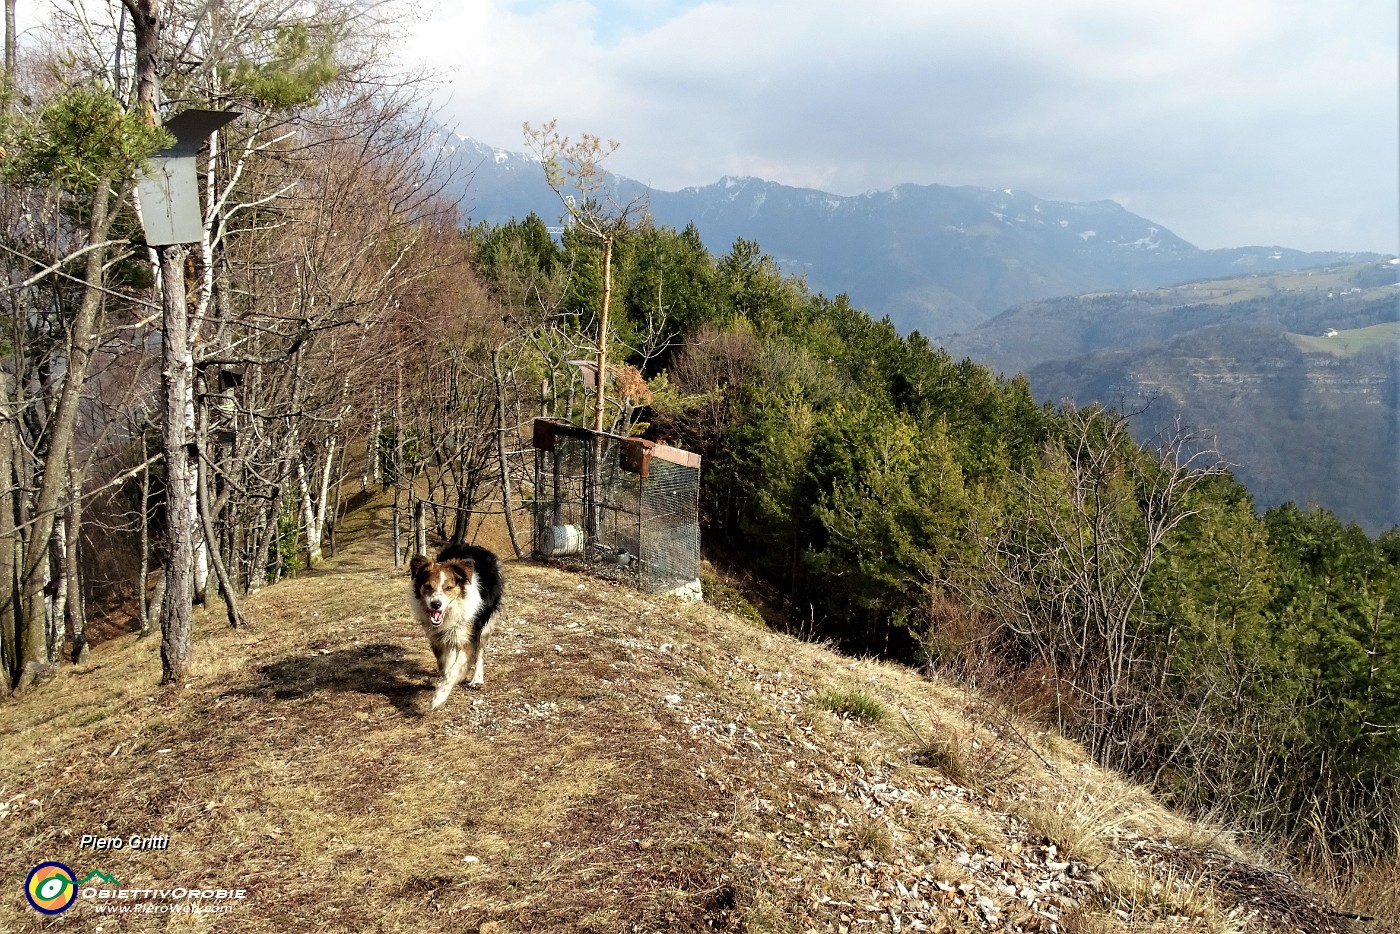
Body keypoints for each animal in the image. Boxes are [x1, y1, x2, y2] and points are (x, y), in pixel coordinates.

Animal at [408, 540, 506, 708]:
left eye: (448, 587)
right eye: (428, 586)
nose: (436, 604)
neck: (451, 611)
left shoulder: (468, 636)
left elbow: (455, 669)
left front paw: (439, 697)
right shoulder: (438, 638)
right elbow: (445, 665)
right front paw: (443, 684)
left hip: (485, 627)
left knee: (480, 653)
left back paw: (477, 679)